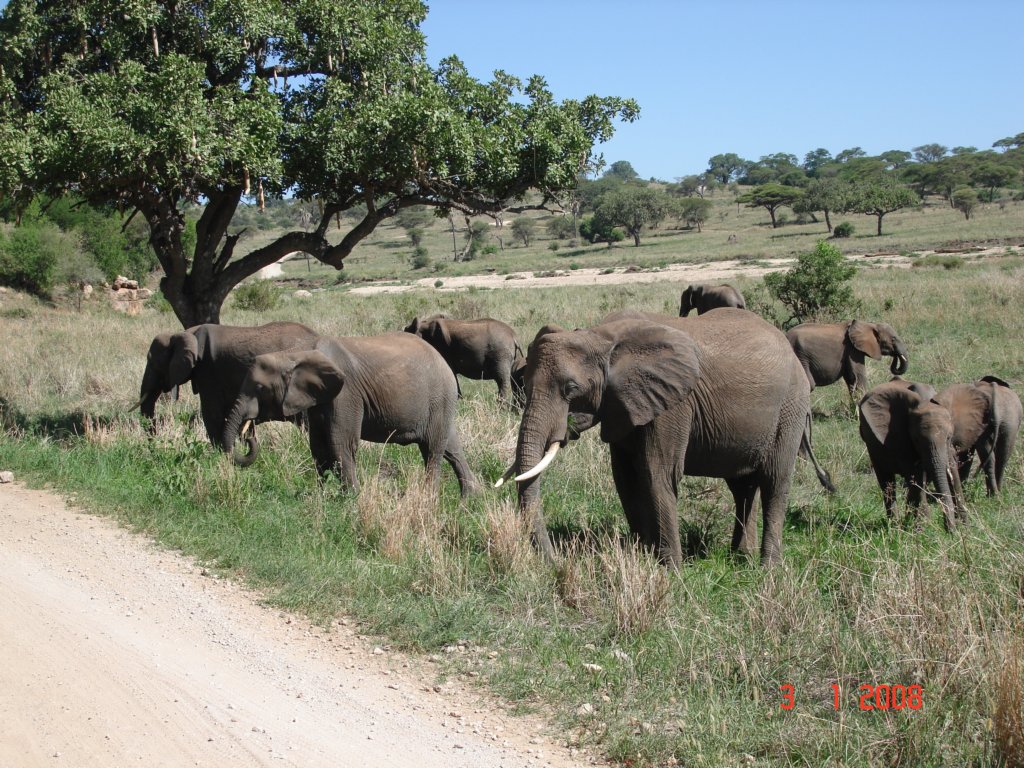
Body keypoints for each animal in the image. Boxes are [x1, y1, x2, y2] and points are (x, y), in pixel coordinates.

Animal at [224, 333, 479, 495]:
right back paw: (470, 498)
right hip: (440, 403)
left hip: (439, 398)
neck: (295, 352)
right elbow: (318, 446)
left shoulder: (346, 394)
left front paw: (351, 498)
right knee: (451, 447)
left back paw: (430, 499)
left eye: (260, 388)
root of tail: (442, 359)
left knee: (433, 450)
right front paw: (323, 496)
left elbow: (341, 443)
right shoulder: (319, 399)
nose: (248, 435)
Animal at [499, 309, 811, 573]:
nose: (555, 563)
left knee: (774, 482)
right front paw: (643, 556)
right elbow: (625, 478)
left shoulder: (673, 405)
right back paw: (740, 557)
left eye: (571, 388)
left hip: (790, 408)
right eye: (524, 383)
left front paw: (671, 571)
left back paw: (768, 569)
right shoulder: (623, 405)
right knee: (742, 487)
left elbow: (657, 474)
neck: (601, 337)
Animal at [856, 380, 966, 536]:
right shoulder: (901, 439)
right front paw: (923, 530)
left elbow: (951, 472)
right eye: (917, 440)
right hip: (871, 445)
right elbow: (916, 477)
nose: (951, 531)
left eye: (949, 437)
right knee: (887, 483)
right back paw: (895, 525)